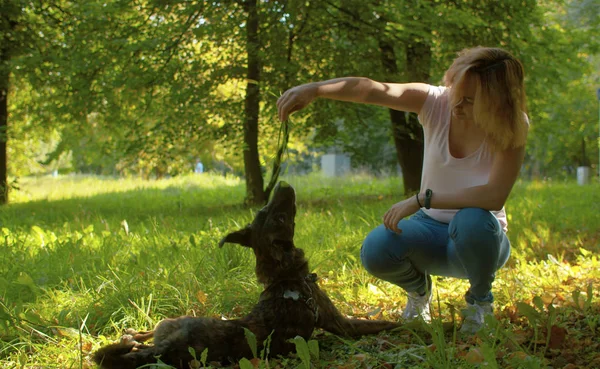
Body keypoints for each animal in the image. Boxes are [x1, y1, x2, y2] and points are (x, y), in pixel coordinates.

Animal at [92, 182, 398, 368]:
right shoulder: (343, 324)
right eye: (280, 218)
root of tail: (169, 347)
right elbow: (387, 324)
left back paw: (130, 336)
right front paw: (409, 325)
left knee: (149, 331)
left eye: (264, 209)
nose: (282, 185)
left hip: (173, 323)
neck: (285, 279)